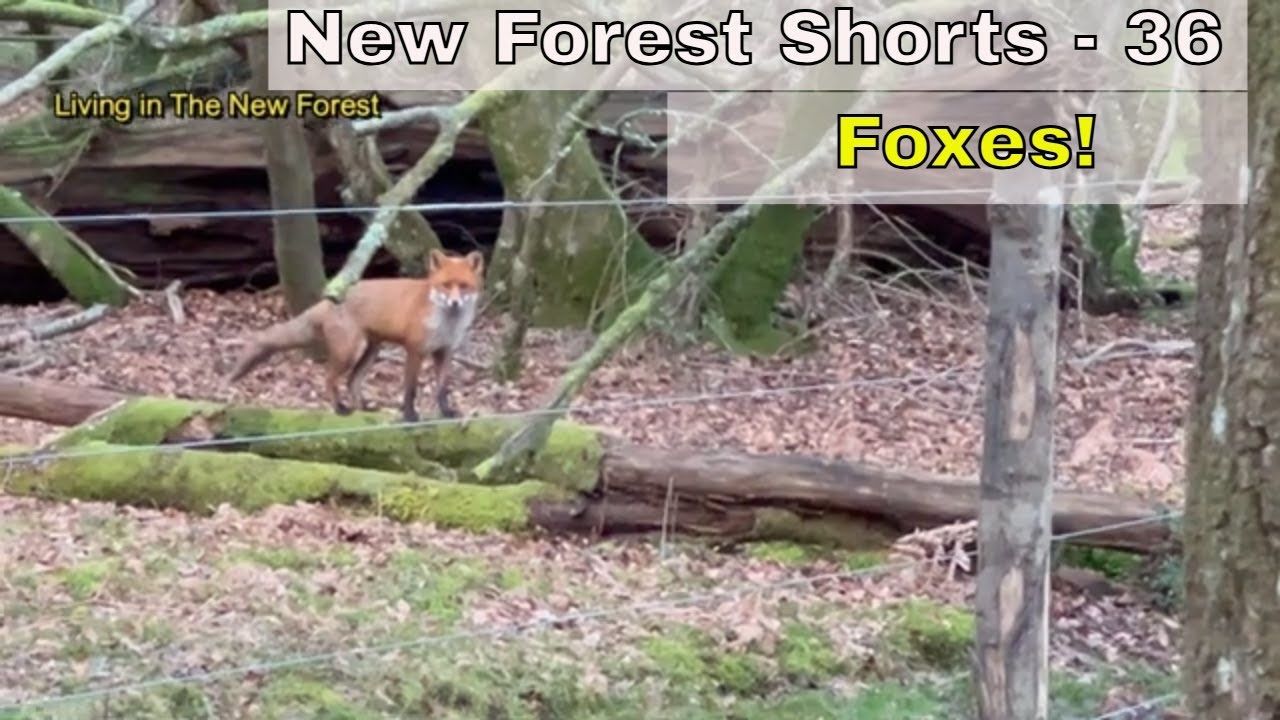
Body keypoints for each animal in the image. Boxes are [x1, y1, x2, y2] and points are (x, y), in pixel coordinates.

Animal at [226, 249, 485, 422]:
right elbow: (410, 389)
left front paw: (447, 412)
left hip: (371, 351)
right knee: (330, 379)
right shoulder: (415, 350)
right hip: (350, 351)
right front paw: (409, 416)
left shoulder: (445, 351)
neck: (446, 323)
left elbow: (442, 388)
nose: (454, 303)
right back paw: (340, 408)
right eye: (445, 285)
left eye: (463, 286)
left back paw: (363, 408)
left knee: (352, 381)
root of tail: (328, 300)